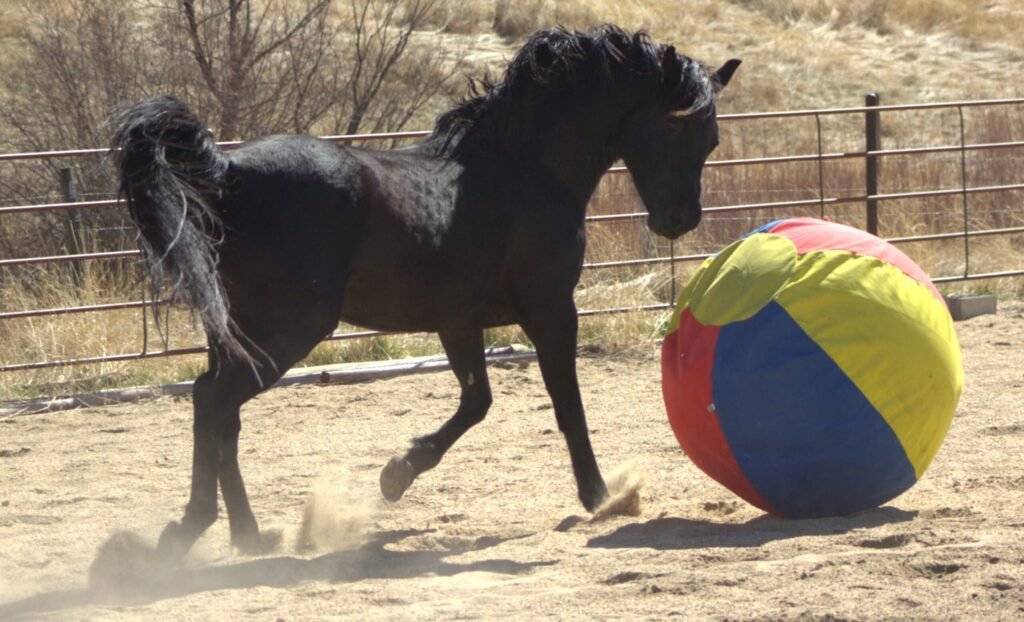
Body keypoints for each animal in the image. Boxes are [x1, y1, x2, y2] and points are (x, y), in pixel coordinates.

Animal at [112, 24, 739, 558]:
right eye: (675, 124)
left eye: (710, 139)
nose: (681, 219)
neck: (522, 170)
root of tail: (225, 173)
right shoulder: (551, 311)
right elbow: (568, 406)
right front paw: (601, 497)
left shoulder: (458, 320)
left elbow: (476, 402)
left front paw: (398, 473)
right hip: (288, 329)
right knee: (213, 403)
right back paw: (194, 530)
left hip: (238, 329)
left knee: (222, 414)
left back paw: (246, 534)